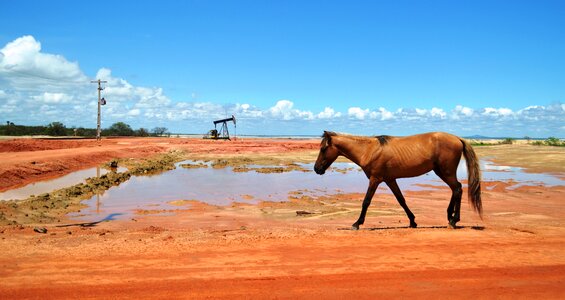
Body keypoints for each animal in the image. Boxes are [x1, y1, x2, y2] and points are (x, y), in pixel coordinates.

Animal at [312, 131, 480, 230]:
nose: (316, 169)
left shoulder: (375, 179)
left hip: (446, 172)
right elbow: (401, 200)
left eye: (323, 149)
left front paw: (357, 223)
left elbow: (366, 201)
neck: (369, 151)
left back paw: (453, 220)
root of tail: (458, 139)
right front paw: (412, 222)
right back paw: (450, 216)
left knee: (457, 188)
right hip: (441, 172)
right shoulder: (390, 180)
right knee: (455, 189)